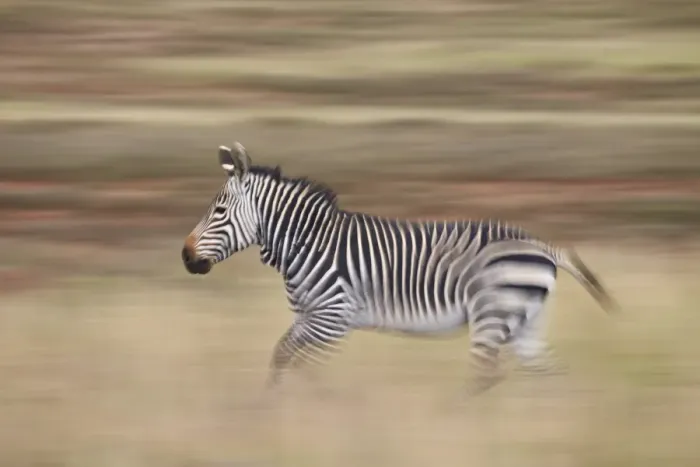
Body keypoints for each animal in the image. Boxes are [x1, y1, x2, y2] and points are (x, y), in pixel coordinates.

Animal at [181, 142, 618, 397]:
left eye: (219, 211)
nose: (185, 257)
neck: (308, 243)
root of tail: (543, 246)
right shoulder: (309, 317)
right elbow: (281, 357)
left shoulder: (332, 320)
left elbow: (300, 365)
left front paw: (311, 407)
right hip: (525, 323)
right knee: (550, 376)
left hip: (492, 315)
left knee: (485, 376)